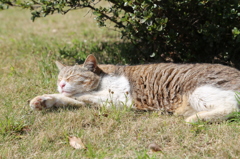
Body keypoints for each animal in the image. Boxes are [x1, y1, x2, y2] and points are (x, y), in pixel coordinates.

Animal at [29, 54, 240, 122]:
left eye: (71, 76)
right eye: (59, 78)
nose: (62, 84)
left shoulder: (121, 98)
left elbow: (84, 96)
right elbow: (71, 99)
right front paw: (45, 100)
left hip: (198, 91)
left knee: (232, 108)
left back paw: (196, 118)